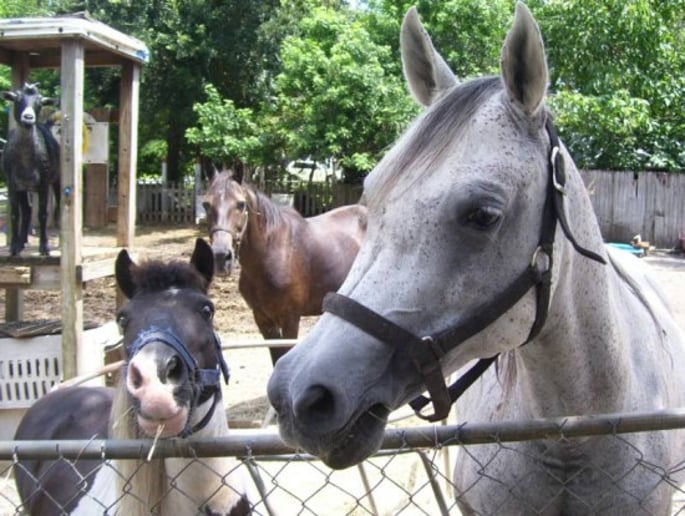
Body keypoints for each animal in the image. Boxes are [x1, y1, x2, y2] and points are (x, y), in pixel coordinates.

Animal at [1, 83, 61, 256]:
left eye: (39, 103)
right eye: (17, 99)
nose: (28, 118)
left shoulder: (44, 182)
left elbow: (42, 213)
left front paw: (45, 247)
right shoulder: (12, 183)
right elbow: (15, 213)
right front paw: (14, 247)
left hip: (56, 178)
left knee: (58, 208)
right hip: (24, 186)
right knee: (27, 211)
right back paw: (22, 242)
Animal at [204, 168, 367, 364]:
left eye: (241, 204)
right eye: (206, 204)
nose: (220, 257)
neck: (273, 253)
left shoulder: (290, 318)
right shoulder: (263, 319)